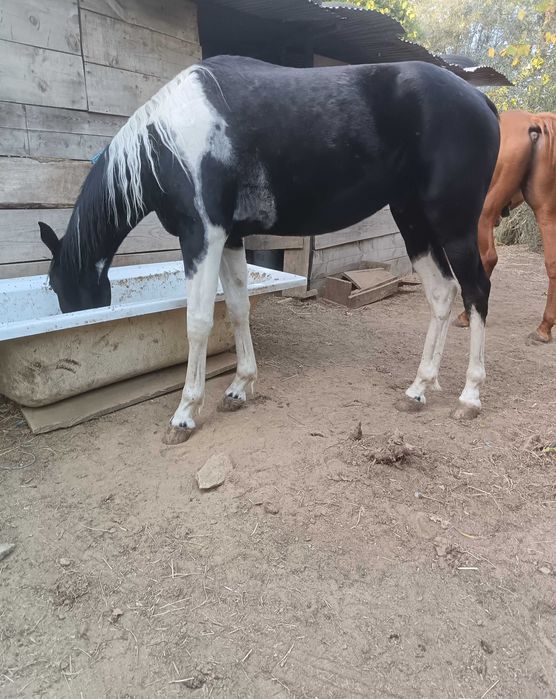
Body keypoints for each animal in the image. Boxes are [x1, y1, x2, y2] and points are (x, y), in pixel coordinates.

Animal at [39, 55, 499, 442]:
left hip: (453, 225)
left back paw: (469, 396)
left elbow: (199, 322)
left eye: (56, 285)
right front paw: (240, 387)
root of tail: (482, 101)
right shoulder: (229, 237)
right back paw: (419, 388)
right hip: (414, 220)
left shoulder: (201, 236)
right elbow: (237, 308)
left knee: (476, 292)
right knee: (442, 293)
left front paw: (185, 414)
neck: (169, 142)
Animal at [455, 110, 556, 343]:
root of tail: (533, 121)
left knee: (488, 258)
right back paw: (544, 327)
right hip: (546, 210)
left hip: (484, 212)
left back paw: (467, 314)